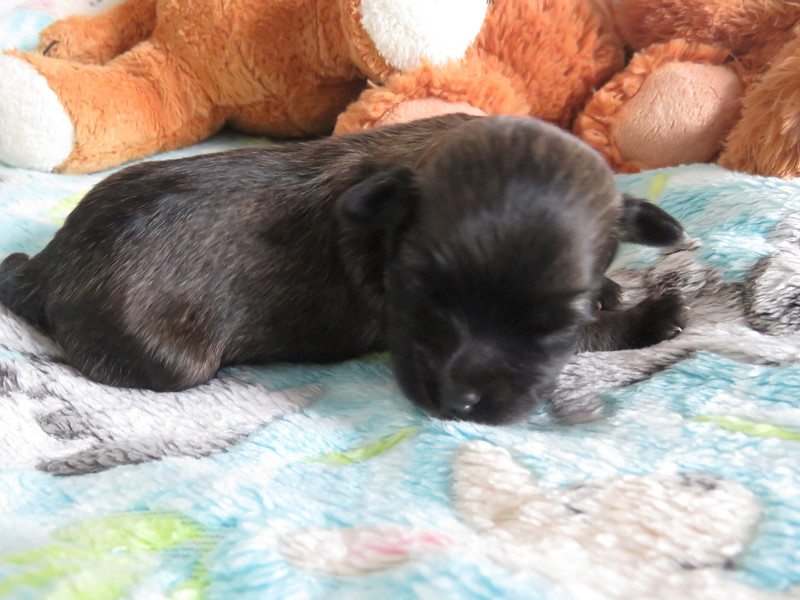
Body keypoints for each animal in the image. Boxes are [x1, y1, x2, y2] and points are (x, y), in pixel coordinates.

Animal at [0, 114, 687, 424]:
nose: (458, 402)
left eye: (550, 324)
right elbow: (595, 339)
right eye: (421, 295)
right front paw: (654, 316)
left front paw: (615, 290)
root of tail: (51, 267)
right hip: (173, 360)